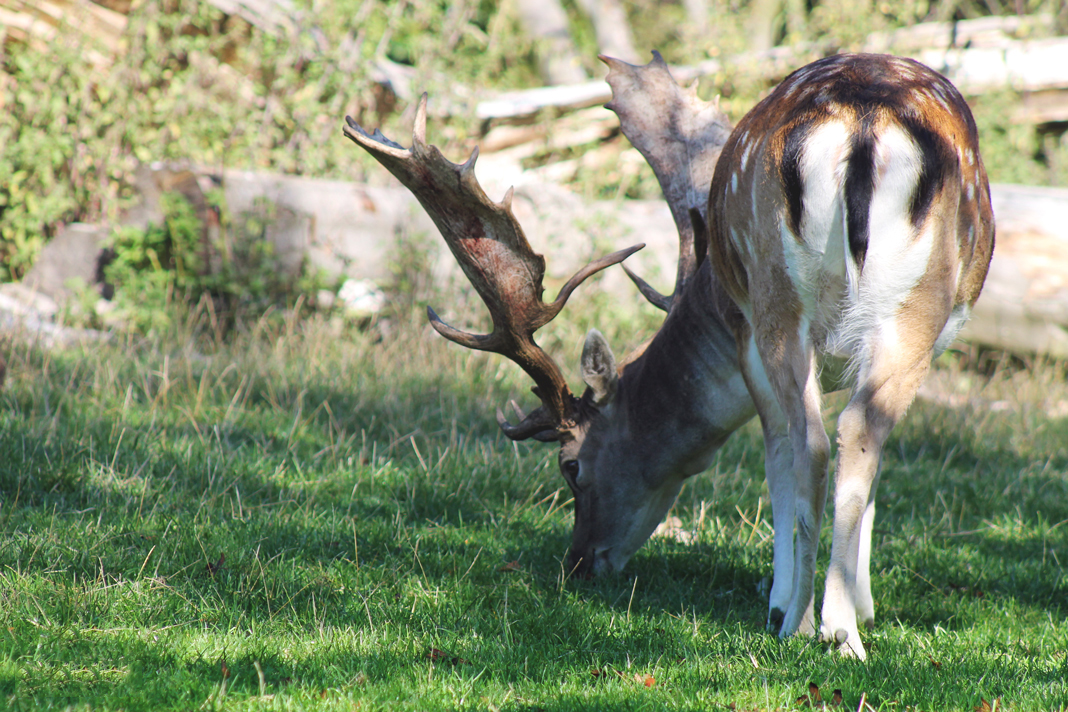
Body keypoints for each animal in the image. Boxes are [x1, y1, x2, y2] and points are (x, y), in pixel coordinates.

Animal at [346, 51, 995, 661]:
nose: (578, 564)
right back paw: (838, 630)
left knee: (820, 438)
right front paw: (852, 603)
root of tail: (862, 122)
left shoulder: (746, 335)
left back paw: (812, 624)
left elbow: (780, 457)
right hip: (885, 312)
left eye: (570, 466)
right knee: (851, 431)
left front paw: (791, 601)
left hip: (810, 305)